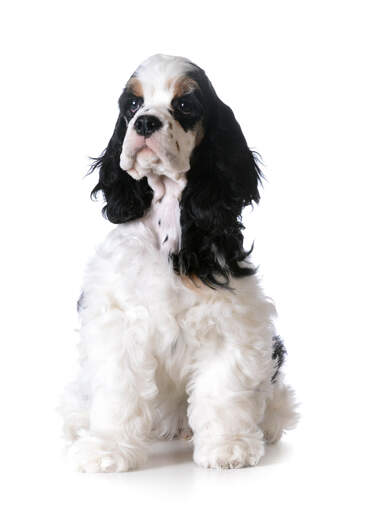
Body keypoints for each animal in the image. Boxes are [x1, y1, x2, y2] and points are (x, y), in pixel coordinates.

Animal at [61, 54, 300, 470]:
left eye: (186, 105)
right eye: (132, 105)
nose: (144, 122)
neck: (169, 219)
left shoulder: (231, 321)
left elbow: (223, 389)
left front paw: (228, 446)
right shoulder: (118, 320)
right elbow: (117, 390)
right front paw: (106, 449)